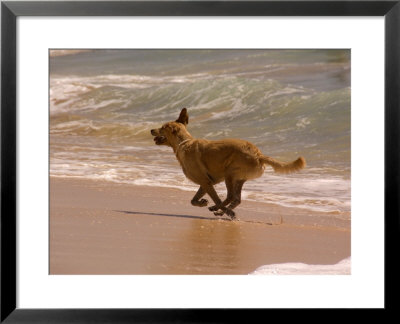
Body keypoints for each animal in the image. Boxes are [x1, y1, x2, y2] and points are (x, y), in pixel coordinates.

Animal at [151, 109, 306, 220]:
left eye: (162, 127)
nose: (151, 130)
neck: (184, 143)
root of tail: (258, 154)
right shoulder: (205, 183)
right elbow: (193, 200)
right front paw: (203, 202)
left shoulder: (206, 182)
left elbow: (214, 197)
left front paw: (218, 208)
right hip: (239, 178)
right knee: (237, 199)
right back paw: (221, 211)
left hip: (229, 174)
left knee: (230, 197)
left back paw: (219, 209)